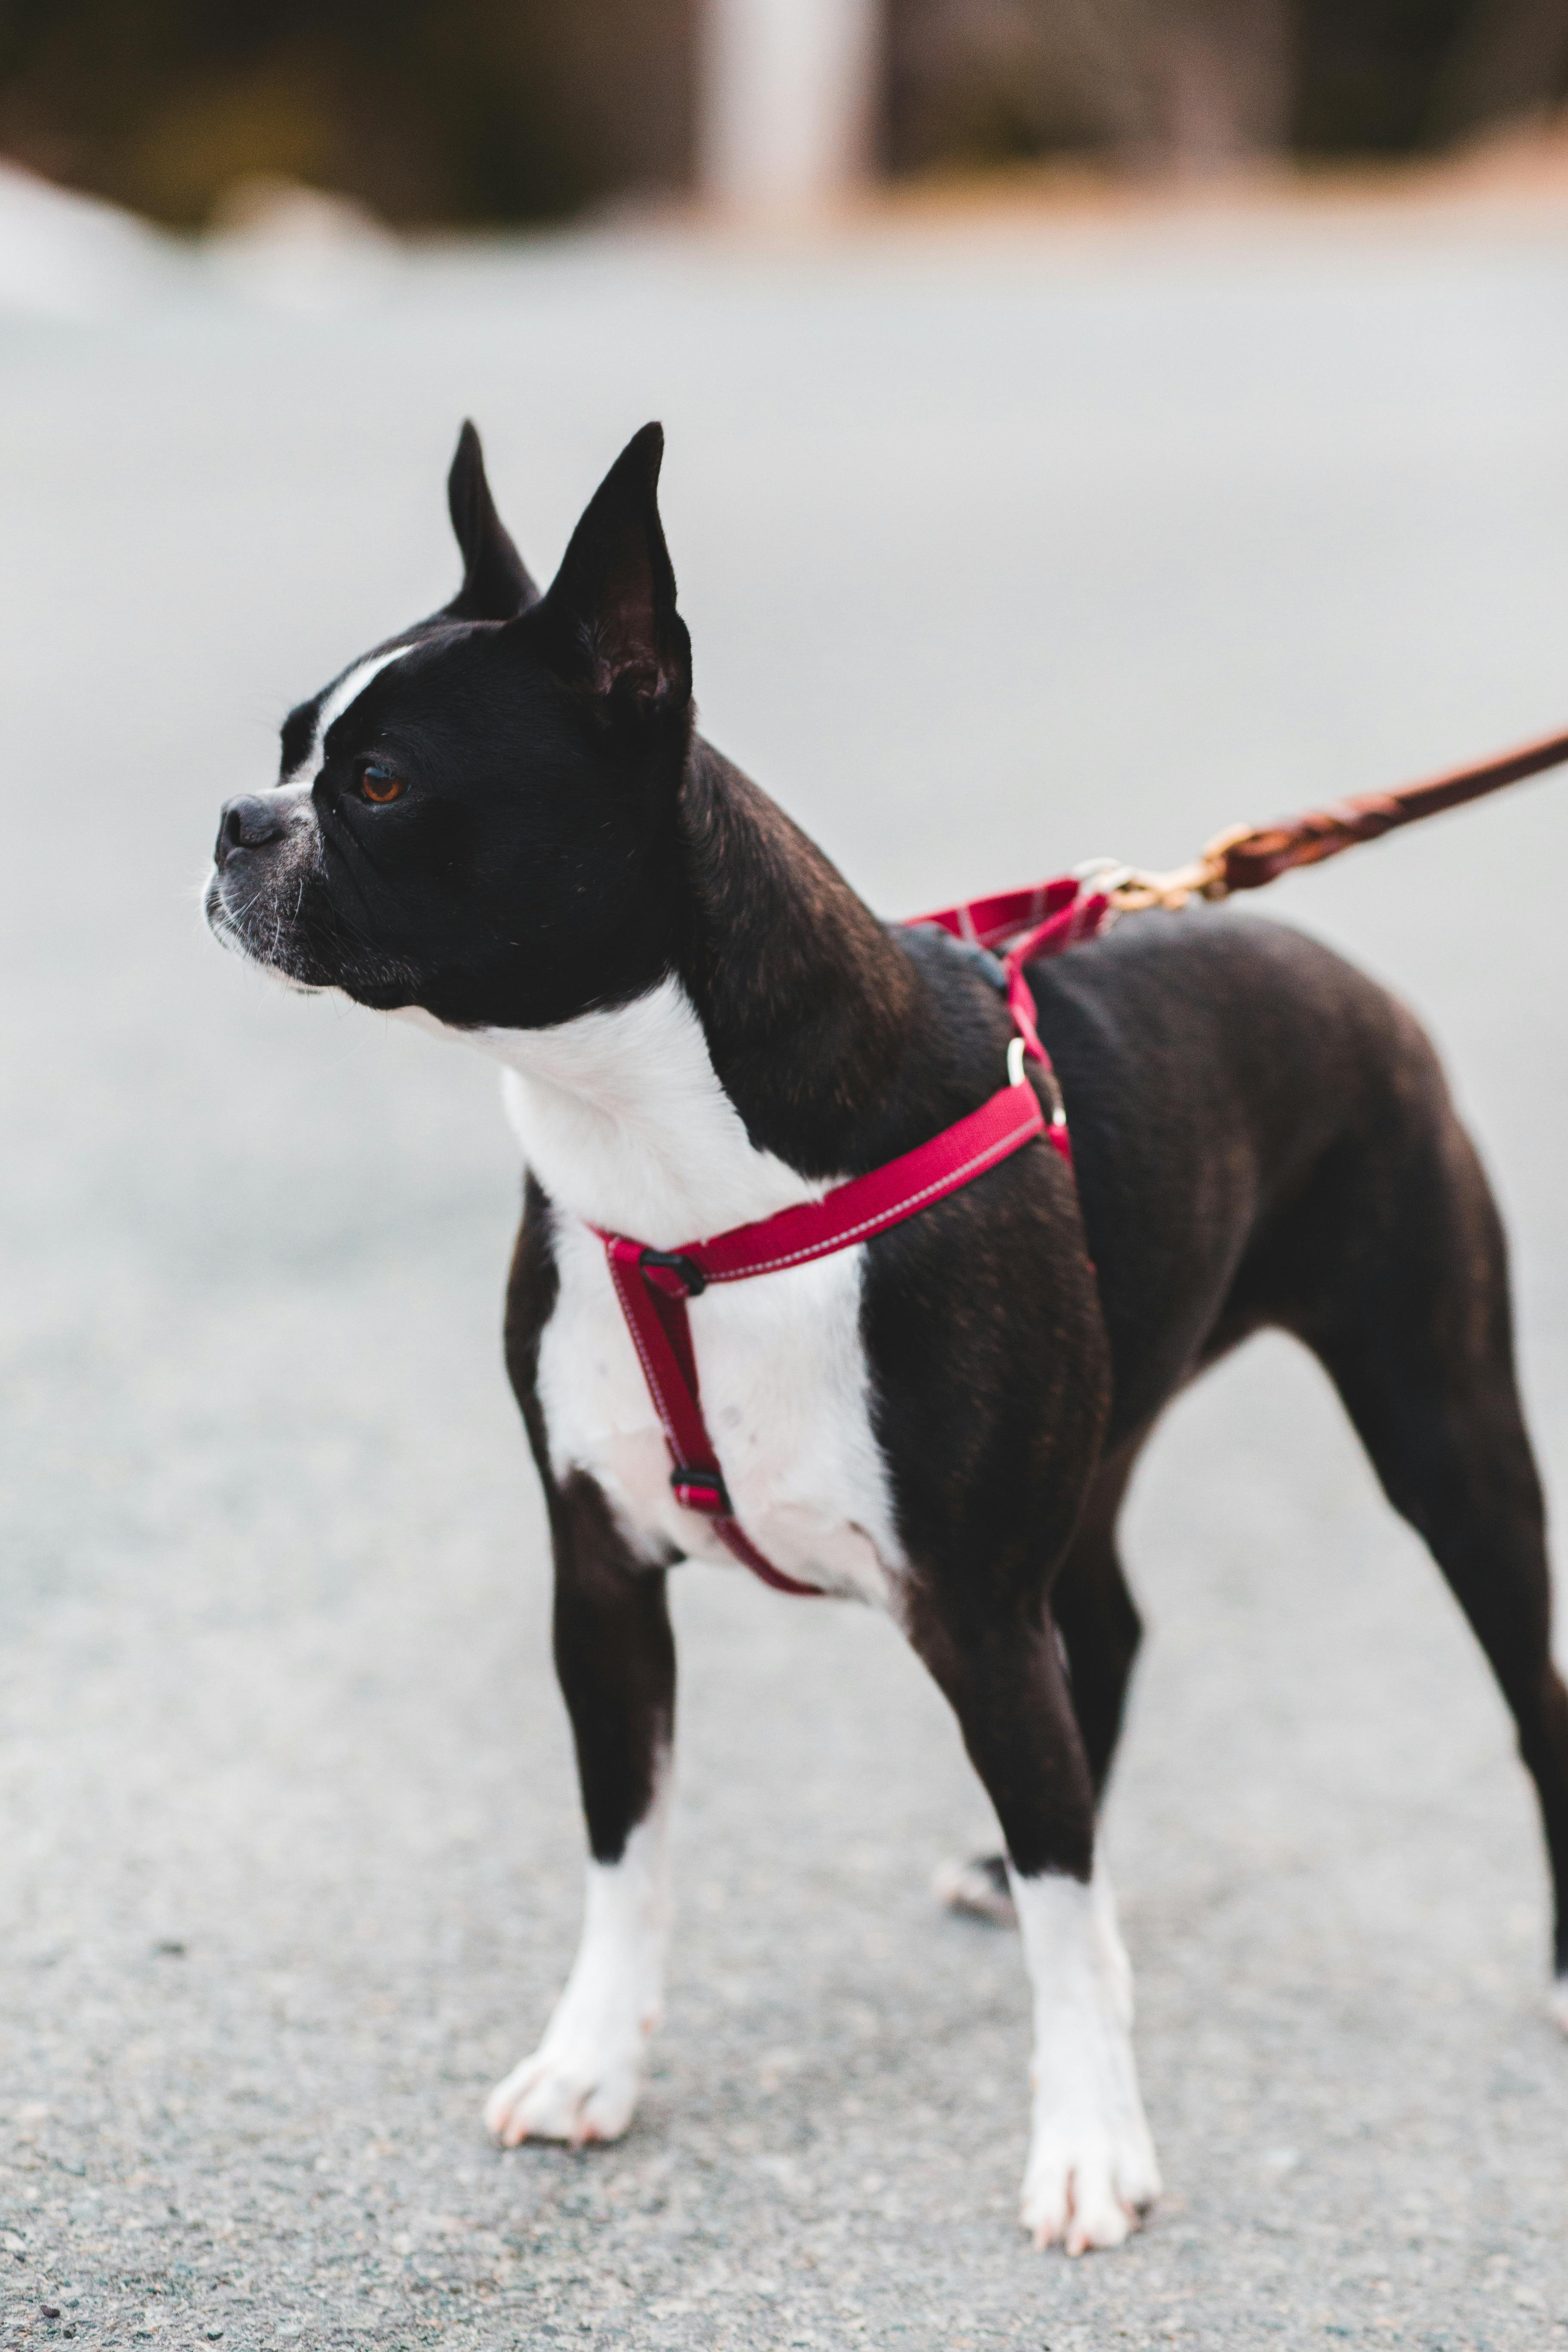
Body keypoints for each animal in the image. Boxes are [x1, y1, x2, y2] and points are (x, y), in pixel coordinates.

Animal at [205, 428, 1568, 2258]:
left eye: (377, 787)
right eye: (292, 747)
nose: (234, 821)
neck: (672, 1157)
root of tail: (1305, 938)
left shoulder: (970, 1605)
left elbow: (1071, 1910)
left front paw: (1088, 2141)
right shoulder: (601, 1577)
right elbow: (624, 1847)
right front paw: (590, 2062)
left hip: (1441, 1424)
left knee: (1518, 1686)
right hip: (1103, 1441)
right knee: (1104, 1634)